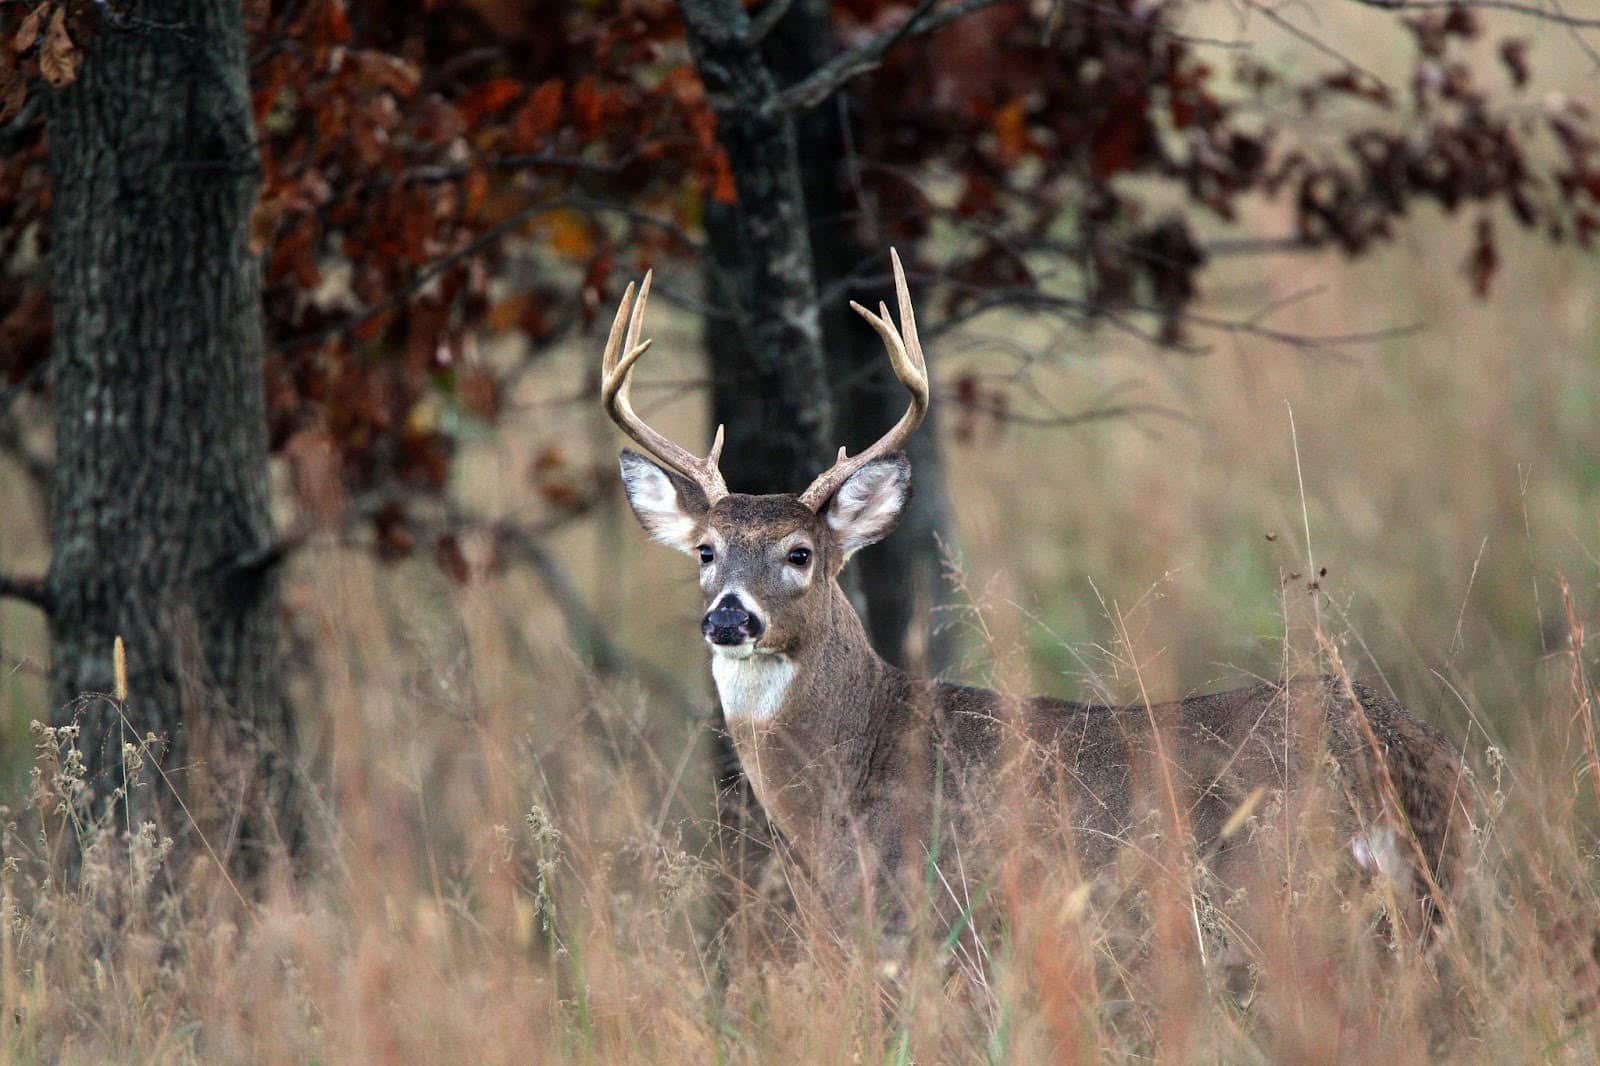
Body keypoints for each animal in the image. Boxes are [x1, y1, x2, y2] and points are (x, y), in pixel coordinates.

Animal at [602, 250, 1469, 961]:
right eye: (706, 551)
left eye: (800, 554)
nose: (729, 618)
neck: (850, 771)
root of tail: (1405, 748)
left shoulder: (939, 917)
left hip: (1285, 891)